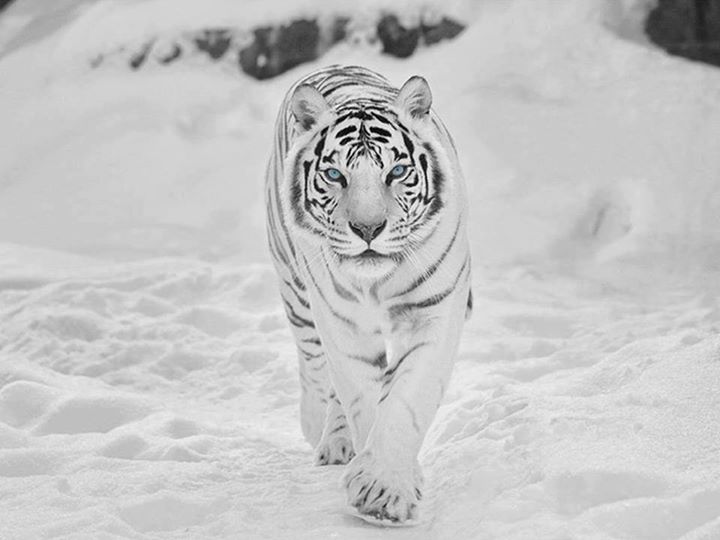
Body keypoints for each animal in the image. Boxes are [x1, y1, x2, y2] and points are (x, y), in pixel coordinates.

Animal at [265, 65, 471, 524]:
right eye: (335, 175)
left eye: (396, 172)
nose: (367, 229)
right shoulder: (343, 324)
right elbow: (361, 394)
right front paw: (382, 485)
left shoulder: (433, 312)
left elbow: (406, 399)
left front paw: (385, 489)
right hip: (296, 291)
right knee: (315, 367)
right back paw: (324, 433)